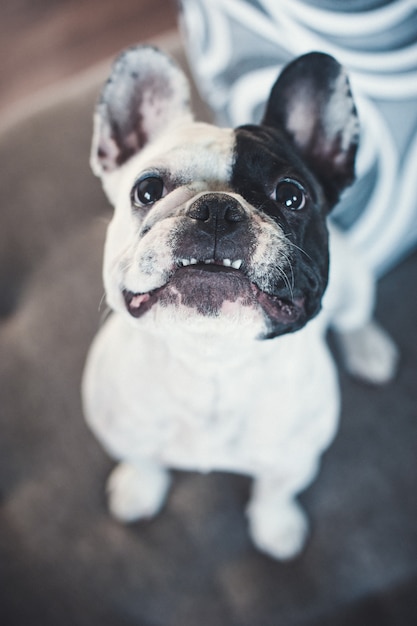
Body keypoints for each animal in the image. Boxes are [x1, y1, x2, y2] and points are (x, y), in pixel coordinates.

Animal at [81, 46, 396, 560]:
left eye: (292, 194)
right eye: (146, 190)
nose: (215, 208)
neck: (211, 358)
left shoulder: (294, 460)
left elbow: (275, 492)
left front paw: (276, 528)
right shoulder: (121, 431)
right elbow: (143, 460)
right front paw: (138, 490)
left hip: (356, 280)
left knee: (355, 317)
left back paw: (369, 349)